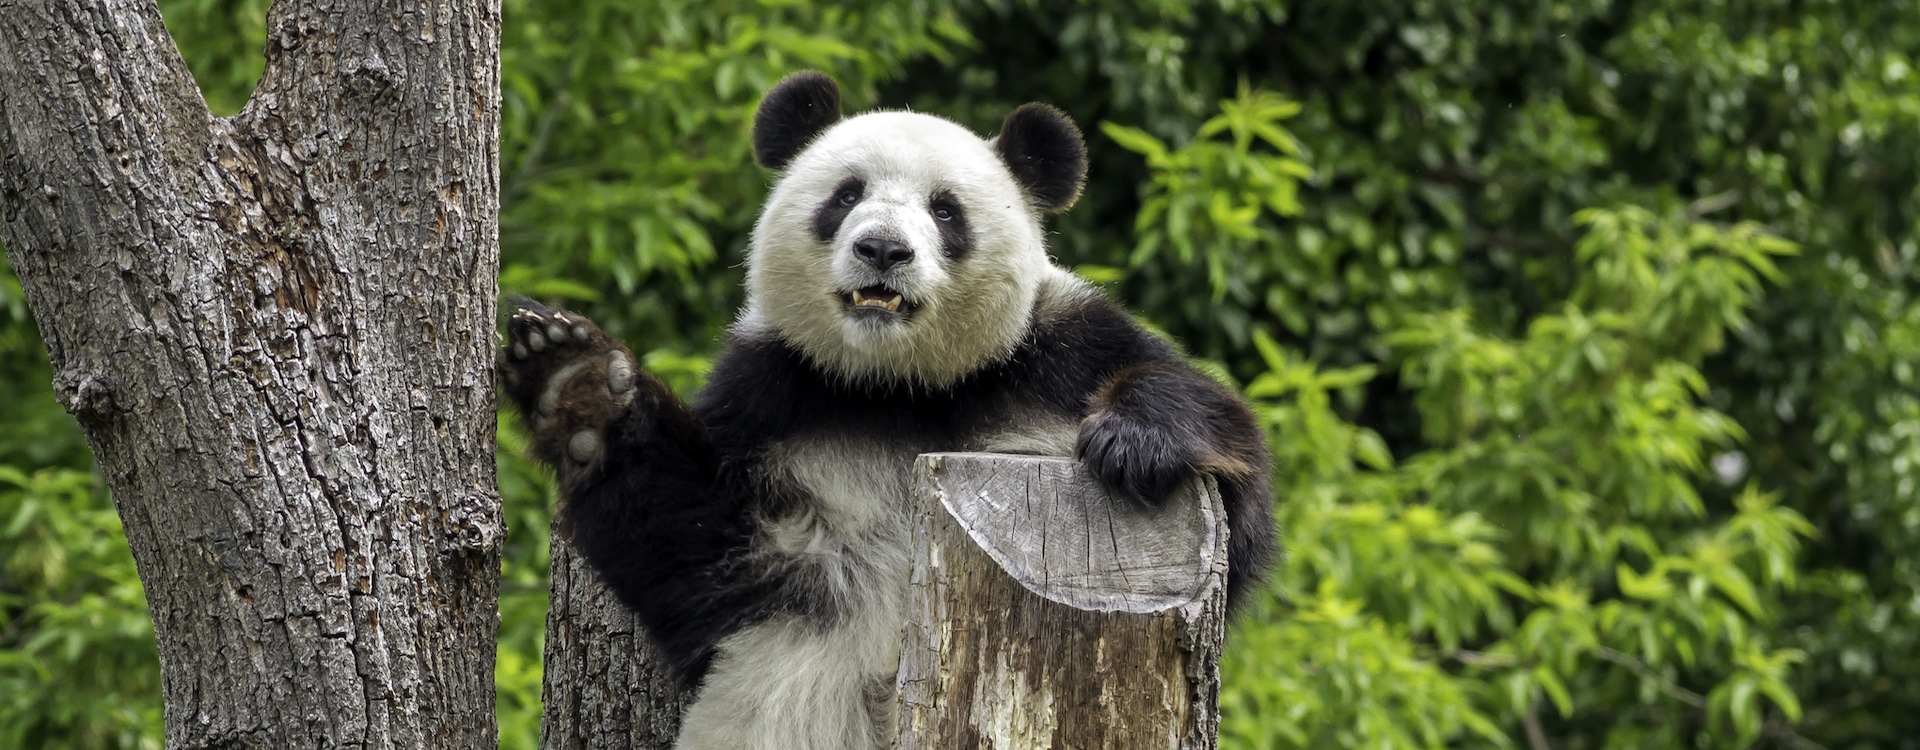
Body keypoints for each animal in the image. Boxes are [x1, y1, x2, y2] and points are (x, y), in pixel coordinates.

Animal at [499, 71, 1274, 750]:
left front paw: (1134, 442)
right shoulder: (772, 396)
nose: (882, 249)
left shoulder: (1054, 357)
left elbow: (1239, 504)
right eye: (845, 195)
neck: (900, 385)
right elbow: (689, 542)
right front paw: (578, 383)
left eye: (945, 208)